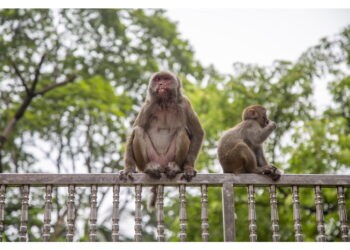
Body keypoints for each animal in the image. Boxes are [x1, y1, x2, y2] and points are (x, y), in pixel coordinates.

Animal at [119, 71, 204, 210]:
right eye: (158, 79)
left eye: (166, 79)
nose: (161, 84)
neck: (164, 103)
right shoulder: (147, 106)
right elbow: (134, 132)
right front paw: (128, 169)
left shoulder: (185, 103)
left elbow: (197, 133)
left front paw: (189, 167)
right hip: (150, 160)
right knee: (139, 131)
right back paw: (149, 168)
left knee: (181, 131)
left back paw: (175, 167)